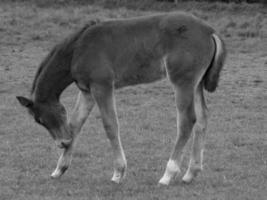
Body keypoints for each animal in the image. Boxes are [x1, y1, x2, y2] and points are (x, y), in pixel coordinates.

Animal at [16, 11, 226, 185]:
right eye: (39, 122)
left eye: (43, 118)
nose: (62, 143)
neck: (78, 49)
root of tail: (210, 31)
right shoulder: (87, 91)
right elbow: (76, 125)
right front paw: (59, 169)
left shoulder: (102, 86)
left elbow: (110, 125)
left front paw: (118, 173)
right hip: (196, 83)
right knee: (202, 117)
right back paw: (191, 173)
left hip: (182, 81)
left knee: (187, 120)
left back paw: (168, 175)